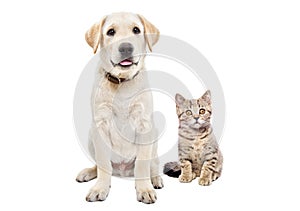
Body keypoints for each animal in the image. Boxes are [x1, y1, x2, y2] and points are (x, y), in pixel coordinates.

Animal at [76, 12, 163, 204]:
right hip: (91, 137)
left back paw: (155, 178)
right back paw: (89, 173)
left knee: (152, 164)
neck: (122, 82)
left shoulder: (144, 124)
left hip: (153, 137)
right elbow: (103, 163)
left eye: (136, 30)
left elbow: (142, 164)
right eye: (110, 32)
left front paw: (144, 189)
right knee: (101, 165)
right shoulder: (100, 125)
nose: (126, 48)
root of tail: (122, 171)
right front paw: (100, 188)